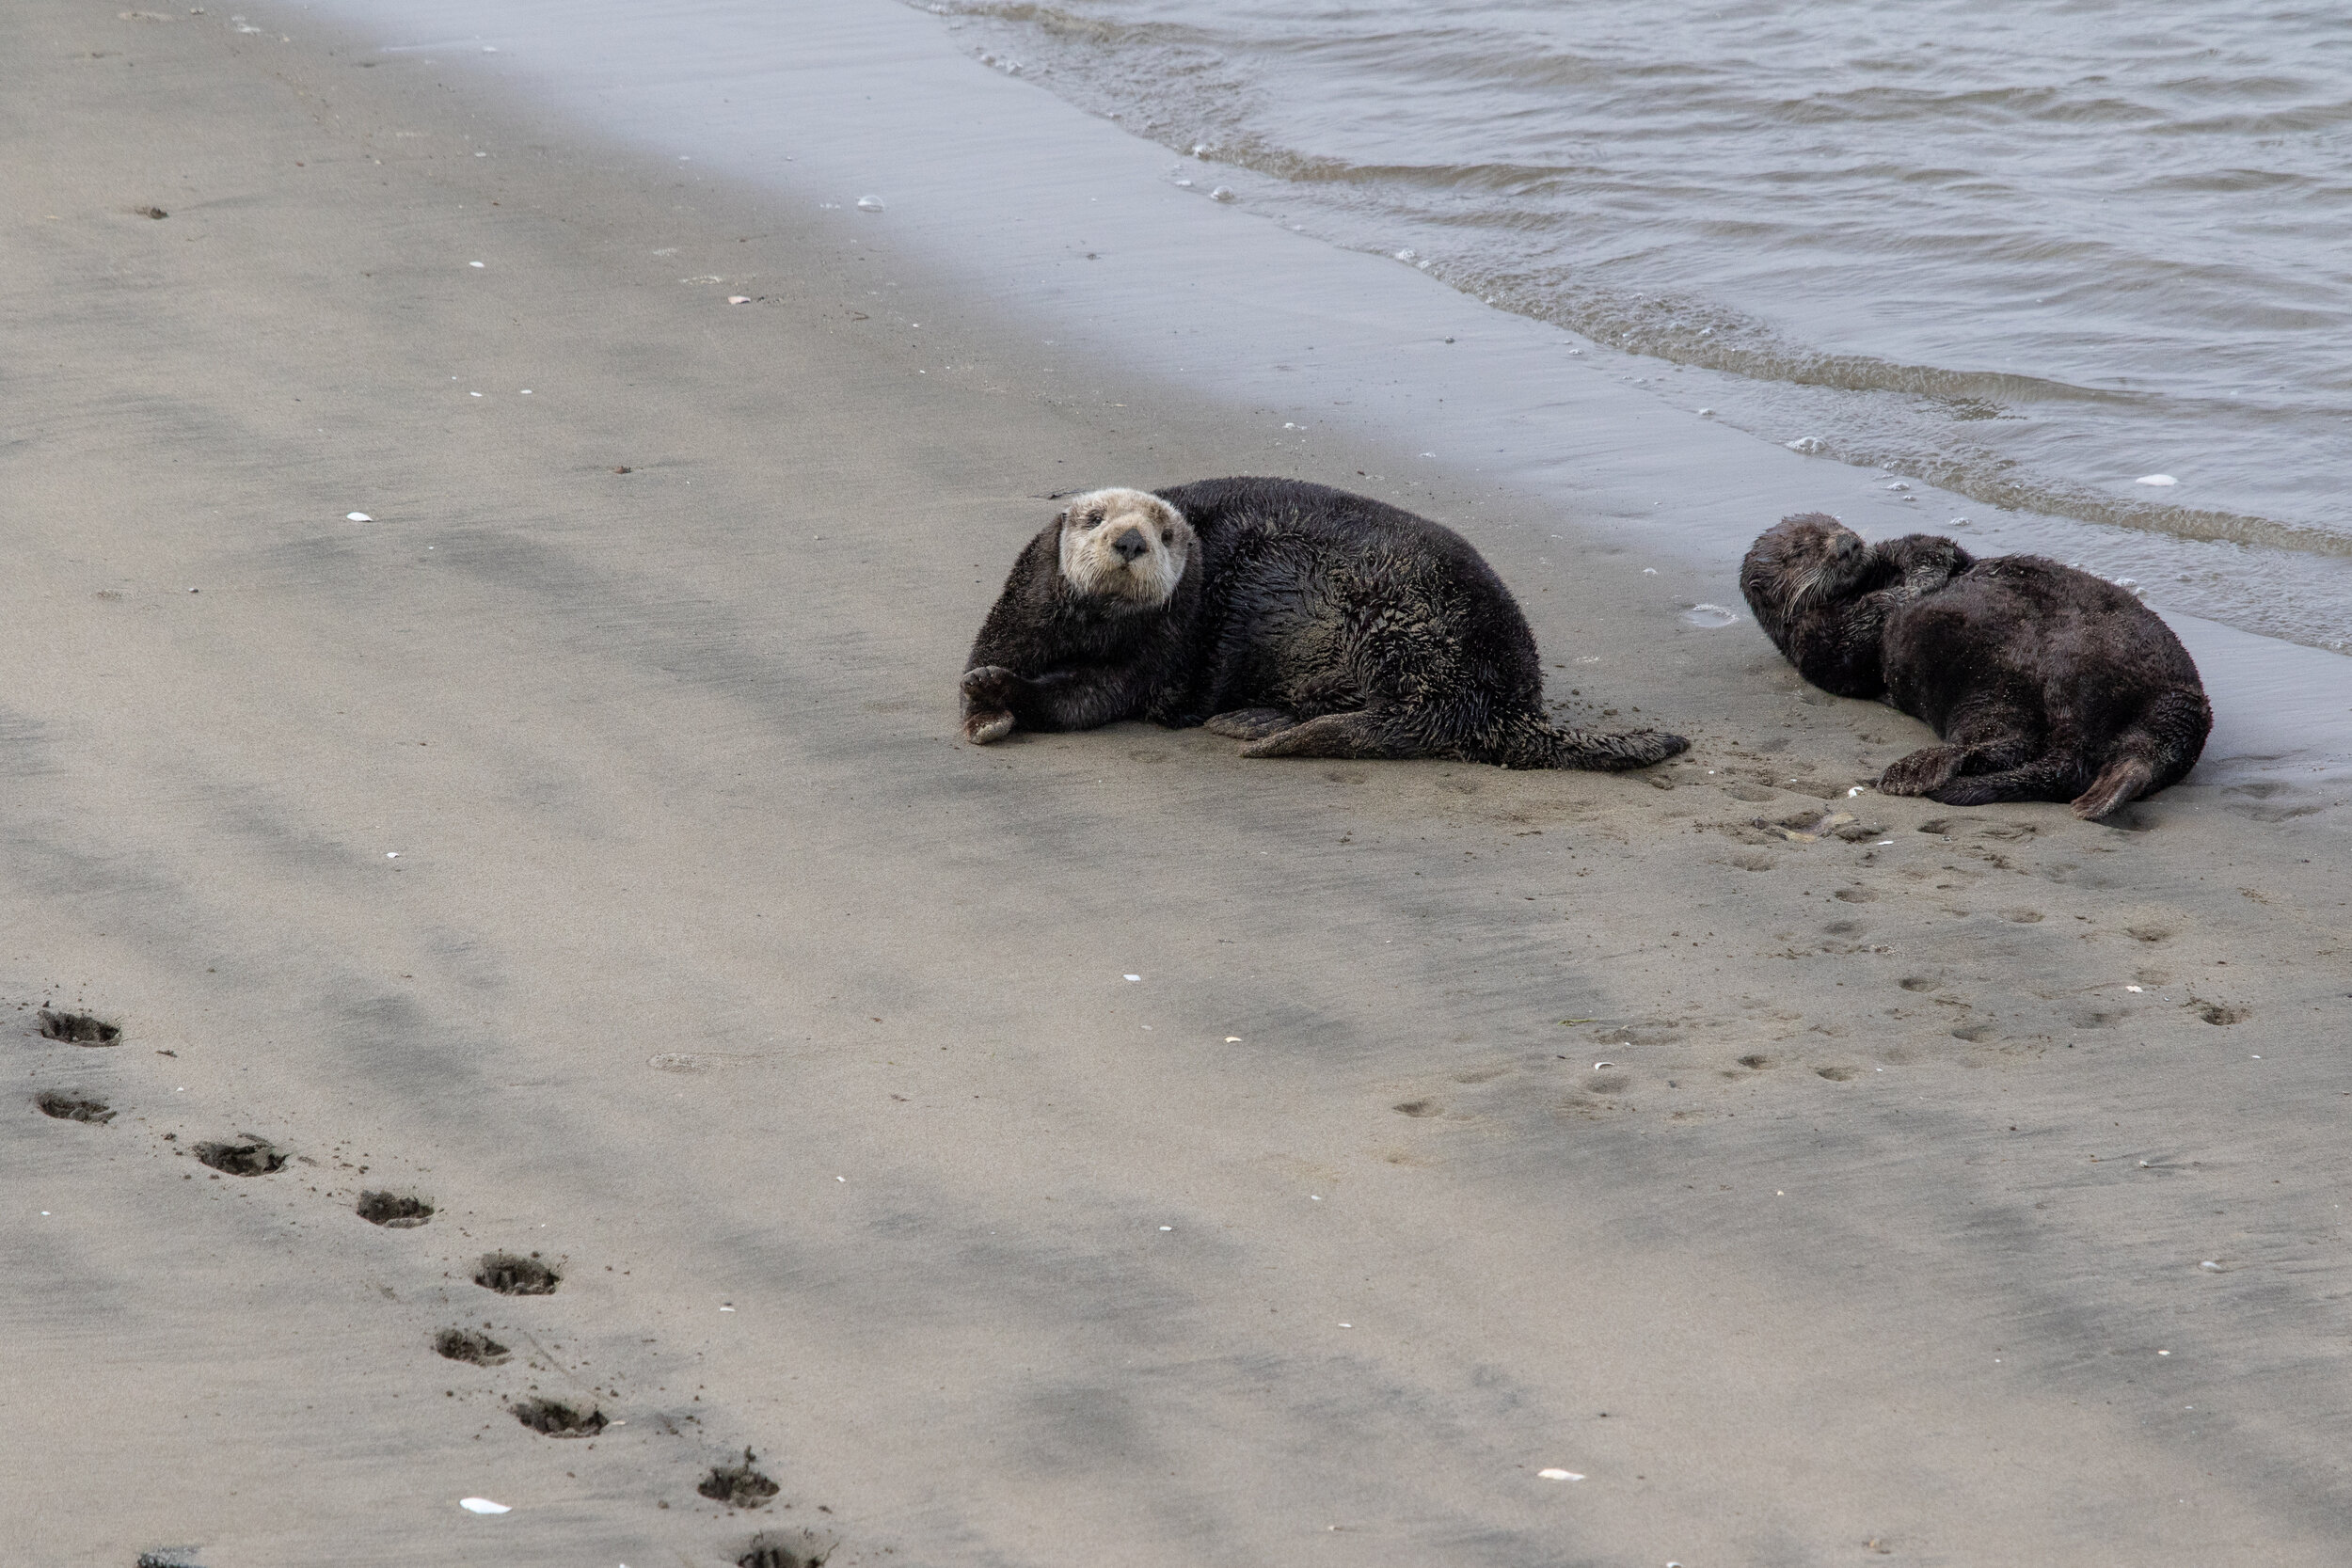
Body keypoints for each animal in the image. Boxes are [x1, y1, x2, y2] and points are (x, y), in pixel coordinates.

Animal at [955, 479, 1693, 770]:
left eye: (1165, 534)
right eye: (1093, 519)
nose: (1132, 540)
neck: (1100, 629)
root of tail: (1504, 701)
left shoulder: (1155, 652)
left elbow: (1087, 697)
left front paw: (1001, 694)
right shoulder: (1025, 608)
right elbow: (990, 658)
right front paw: (984, 702)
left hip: (1398, 622)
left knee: (1400, 722)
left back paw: (1252, 729)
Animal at [1740, 515, 2211, 822]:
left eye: (1833, 524)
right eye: (1800, 550)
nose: (1847, 543)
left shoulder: (1906, 547)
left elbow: (1933, 547)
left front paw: (1924, 576)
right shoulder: (1814, 646)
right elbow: (1855, 638)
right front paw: (1909, 591)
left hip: (2171, 697)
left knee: (2137, 751)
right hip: (1996, 696)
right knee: (2008, 746)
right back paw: (1909, 774)